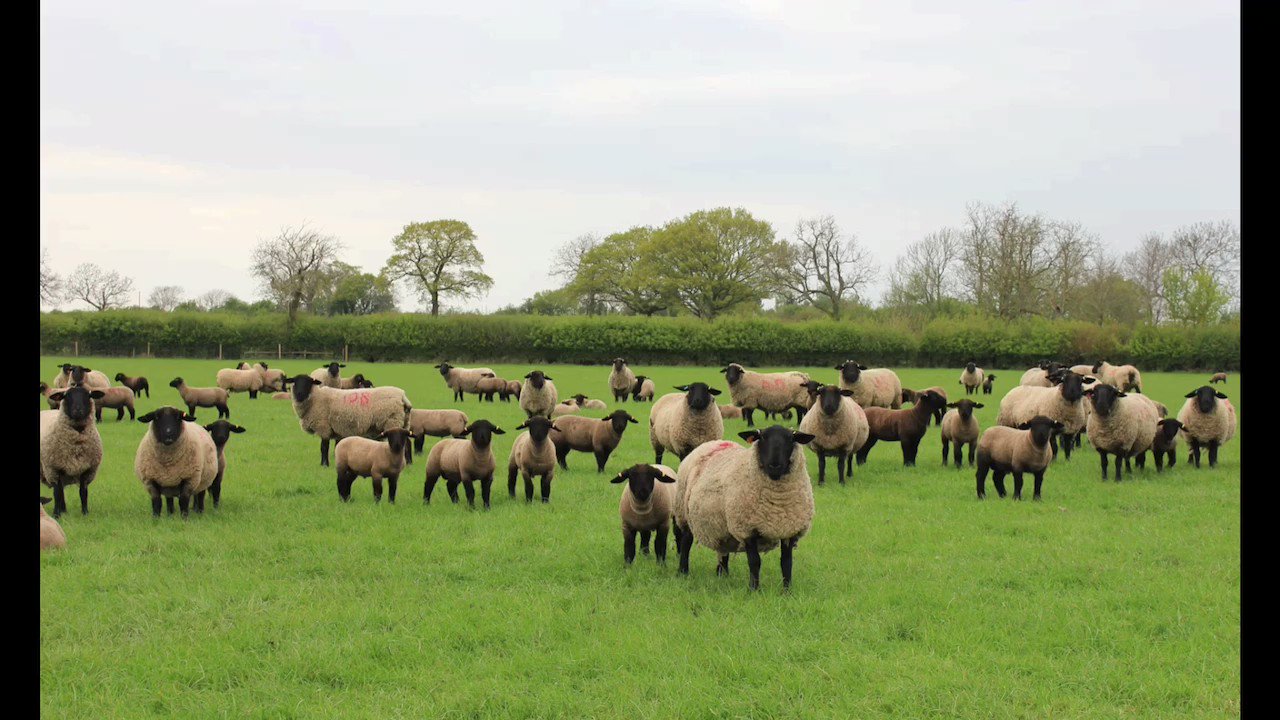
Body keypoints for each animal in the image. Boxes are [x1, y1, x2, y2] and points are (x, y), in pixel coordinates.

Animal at [38, 386, 104, 515]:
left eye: (88, 395)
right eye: (66, 396)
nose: (77, 410)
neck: (76, 445)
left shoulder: (87, 470)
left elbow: (83, 493)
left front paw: (85, 513)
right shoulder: (53, 469)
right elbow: (56, 493)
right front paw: (56, 514)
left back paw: (64, 510)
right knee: (59, 491)